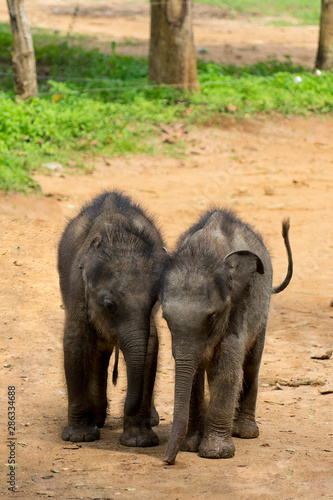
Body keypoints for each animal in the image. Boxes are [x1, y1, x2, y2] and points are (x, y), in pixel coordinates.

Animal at [58, 190, 166, 446]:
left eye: (155, 301)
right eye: (109, 305)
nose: (124, 406)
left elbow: (150, 348)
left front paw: (140, 441)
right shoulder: (77, 291)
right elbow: (76, 343)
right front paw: (80, 437)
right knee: (99, 350)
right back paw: (97, 418)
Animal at [160, 208, 292, 464]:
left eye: (212, 317)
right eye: (165, 318)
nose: (167, 460)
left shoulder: (238, 308)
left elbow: (227, 370)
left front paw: (216, 453)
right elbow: (194, 376)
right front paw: (191, 446)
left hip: (263, 313)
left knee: (251, 364)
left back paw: (246, 432)